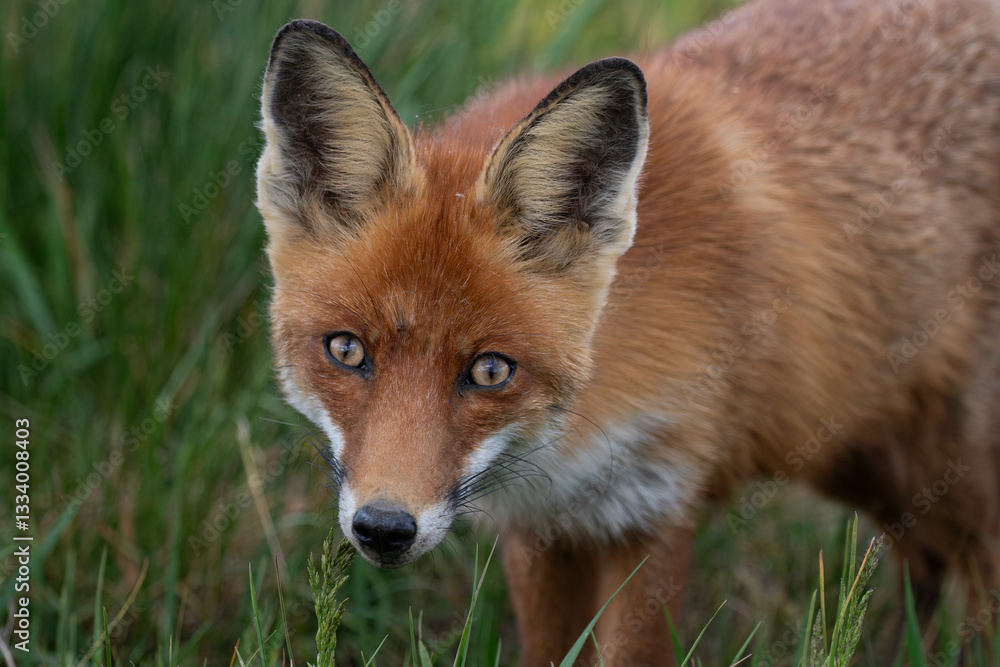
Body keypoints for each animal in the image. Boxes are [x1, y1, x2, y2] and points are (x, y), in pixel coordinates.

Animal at [255, 0, 1000, 663]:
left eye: (491, 370)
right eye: (347, 350)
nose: (384, 528)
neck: (572, 438)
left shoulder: (656, 503)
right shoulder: (543, 525)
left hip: (943, 462)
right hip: (868, 456)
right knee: (923, 559)